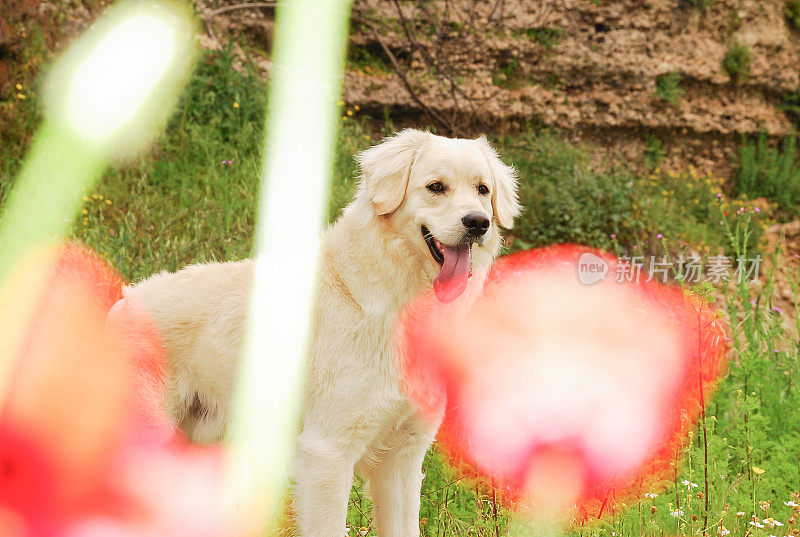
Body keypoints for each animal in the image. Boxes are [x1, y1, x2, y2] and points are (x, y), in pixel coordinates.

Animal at [108, 129, 520, 536]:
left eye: (482, 190)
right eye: (437, 187)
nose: (478, 223)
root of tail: (123, 301)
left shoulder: (402, 457)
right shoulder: (327, 454)